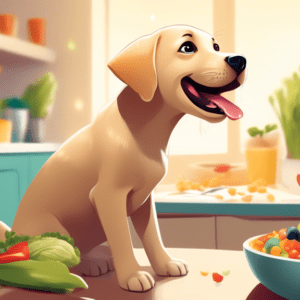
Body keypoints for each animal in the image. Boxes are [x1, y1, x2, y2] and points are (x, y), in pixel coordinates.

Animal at [0, 24, 246, 292]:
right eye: (187, 47)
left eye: (216, 46)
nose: (240, 59)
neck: (144, 128)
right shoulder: (109, 196)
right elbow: (123, 239)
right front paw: (132, 276)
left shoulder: (145, 200)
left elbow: (152, 236)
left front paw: (165, 264)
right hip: (51, 228)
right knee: (60, 256)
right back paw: (87, 265)